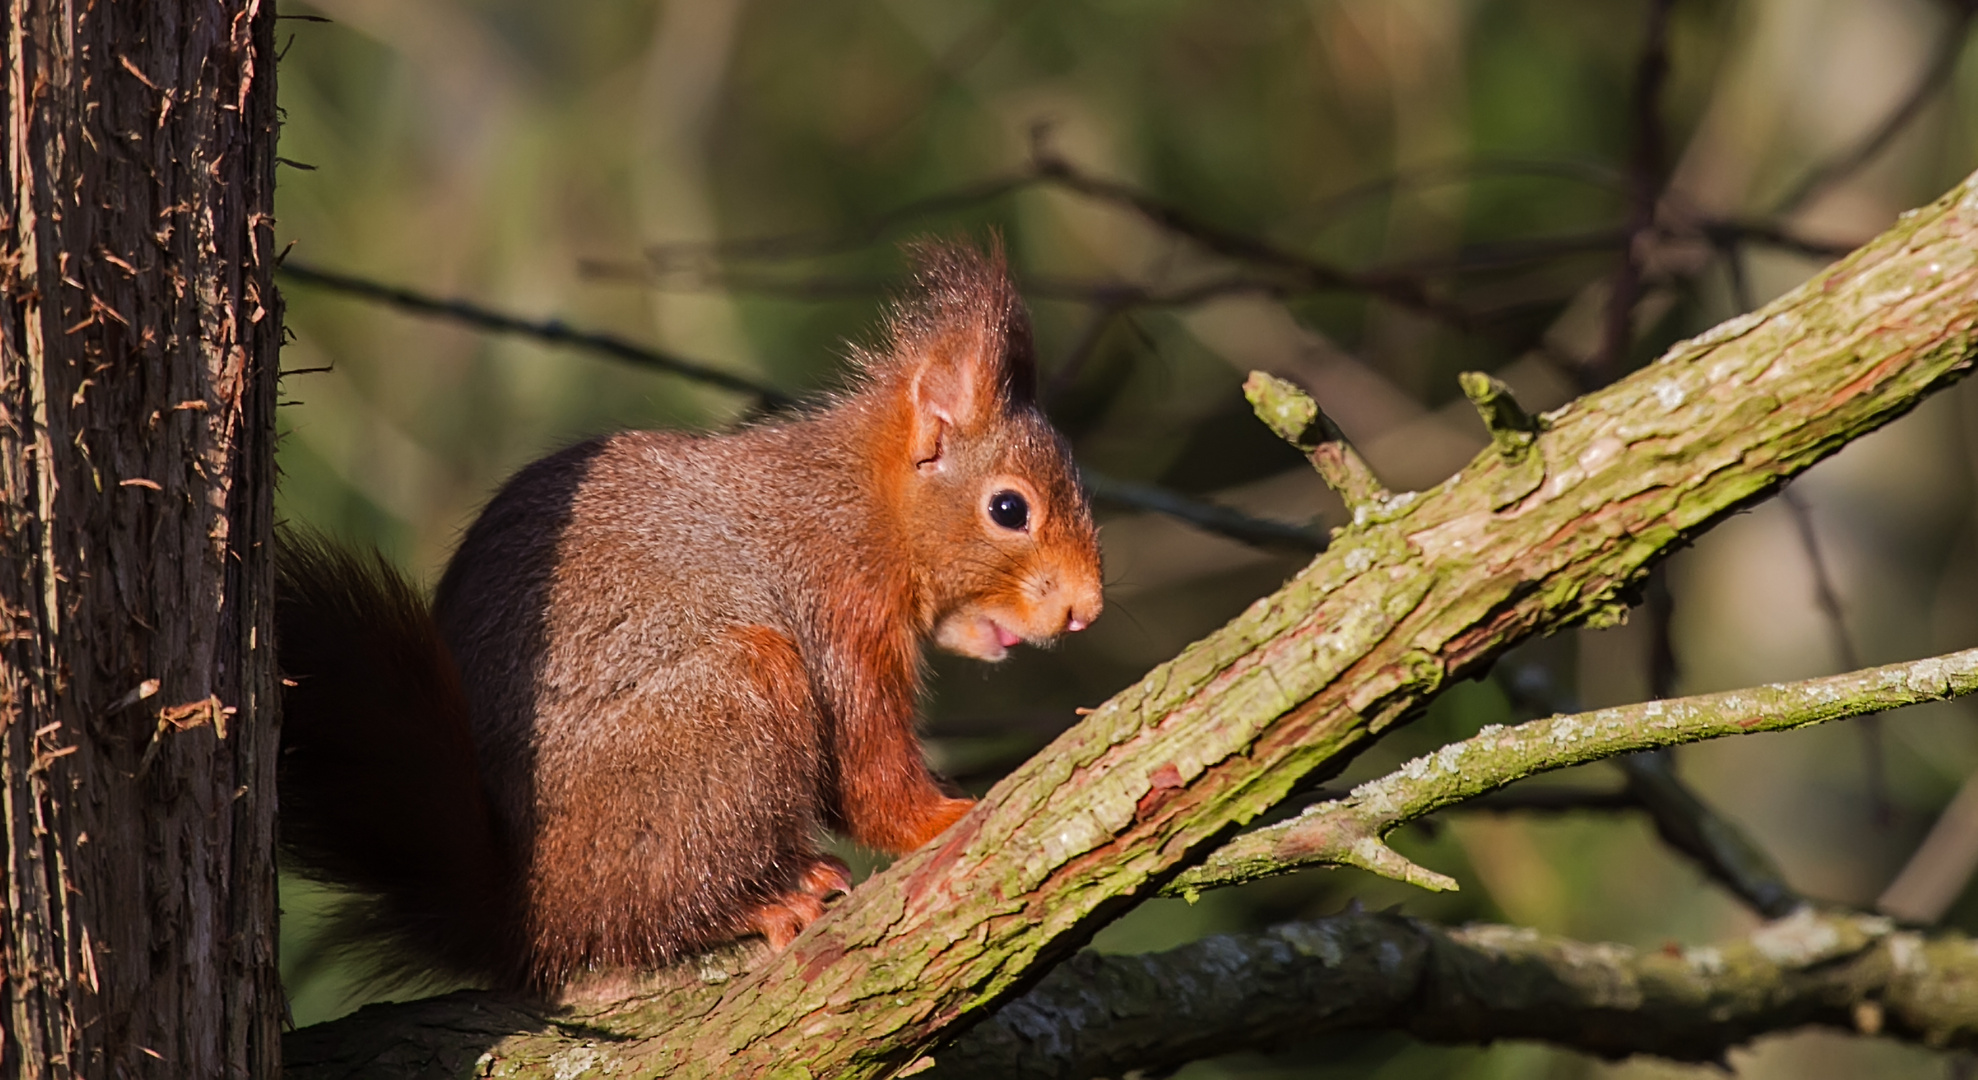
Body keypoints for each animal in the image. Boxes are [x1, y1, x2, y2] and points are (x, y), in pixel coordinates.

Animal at [276, 241, 1107, 992]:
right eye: (1009, 509)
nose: (1087, 609)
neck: (864, 507)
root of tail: (524, 911)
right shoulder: (837, 611)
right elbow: (870, 773)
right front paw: (942, 818)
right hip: (728, 709)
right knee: (642, 920)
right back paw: (768, 902)